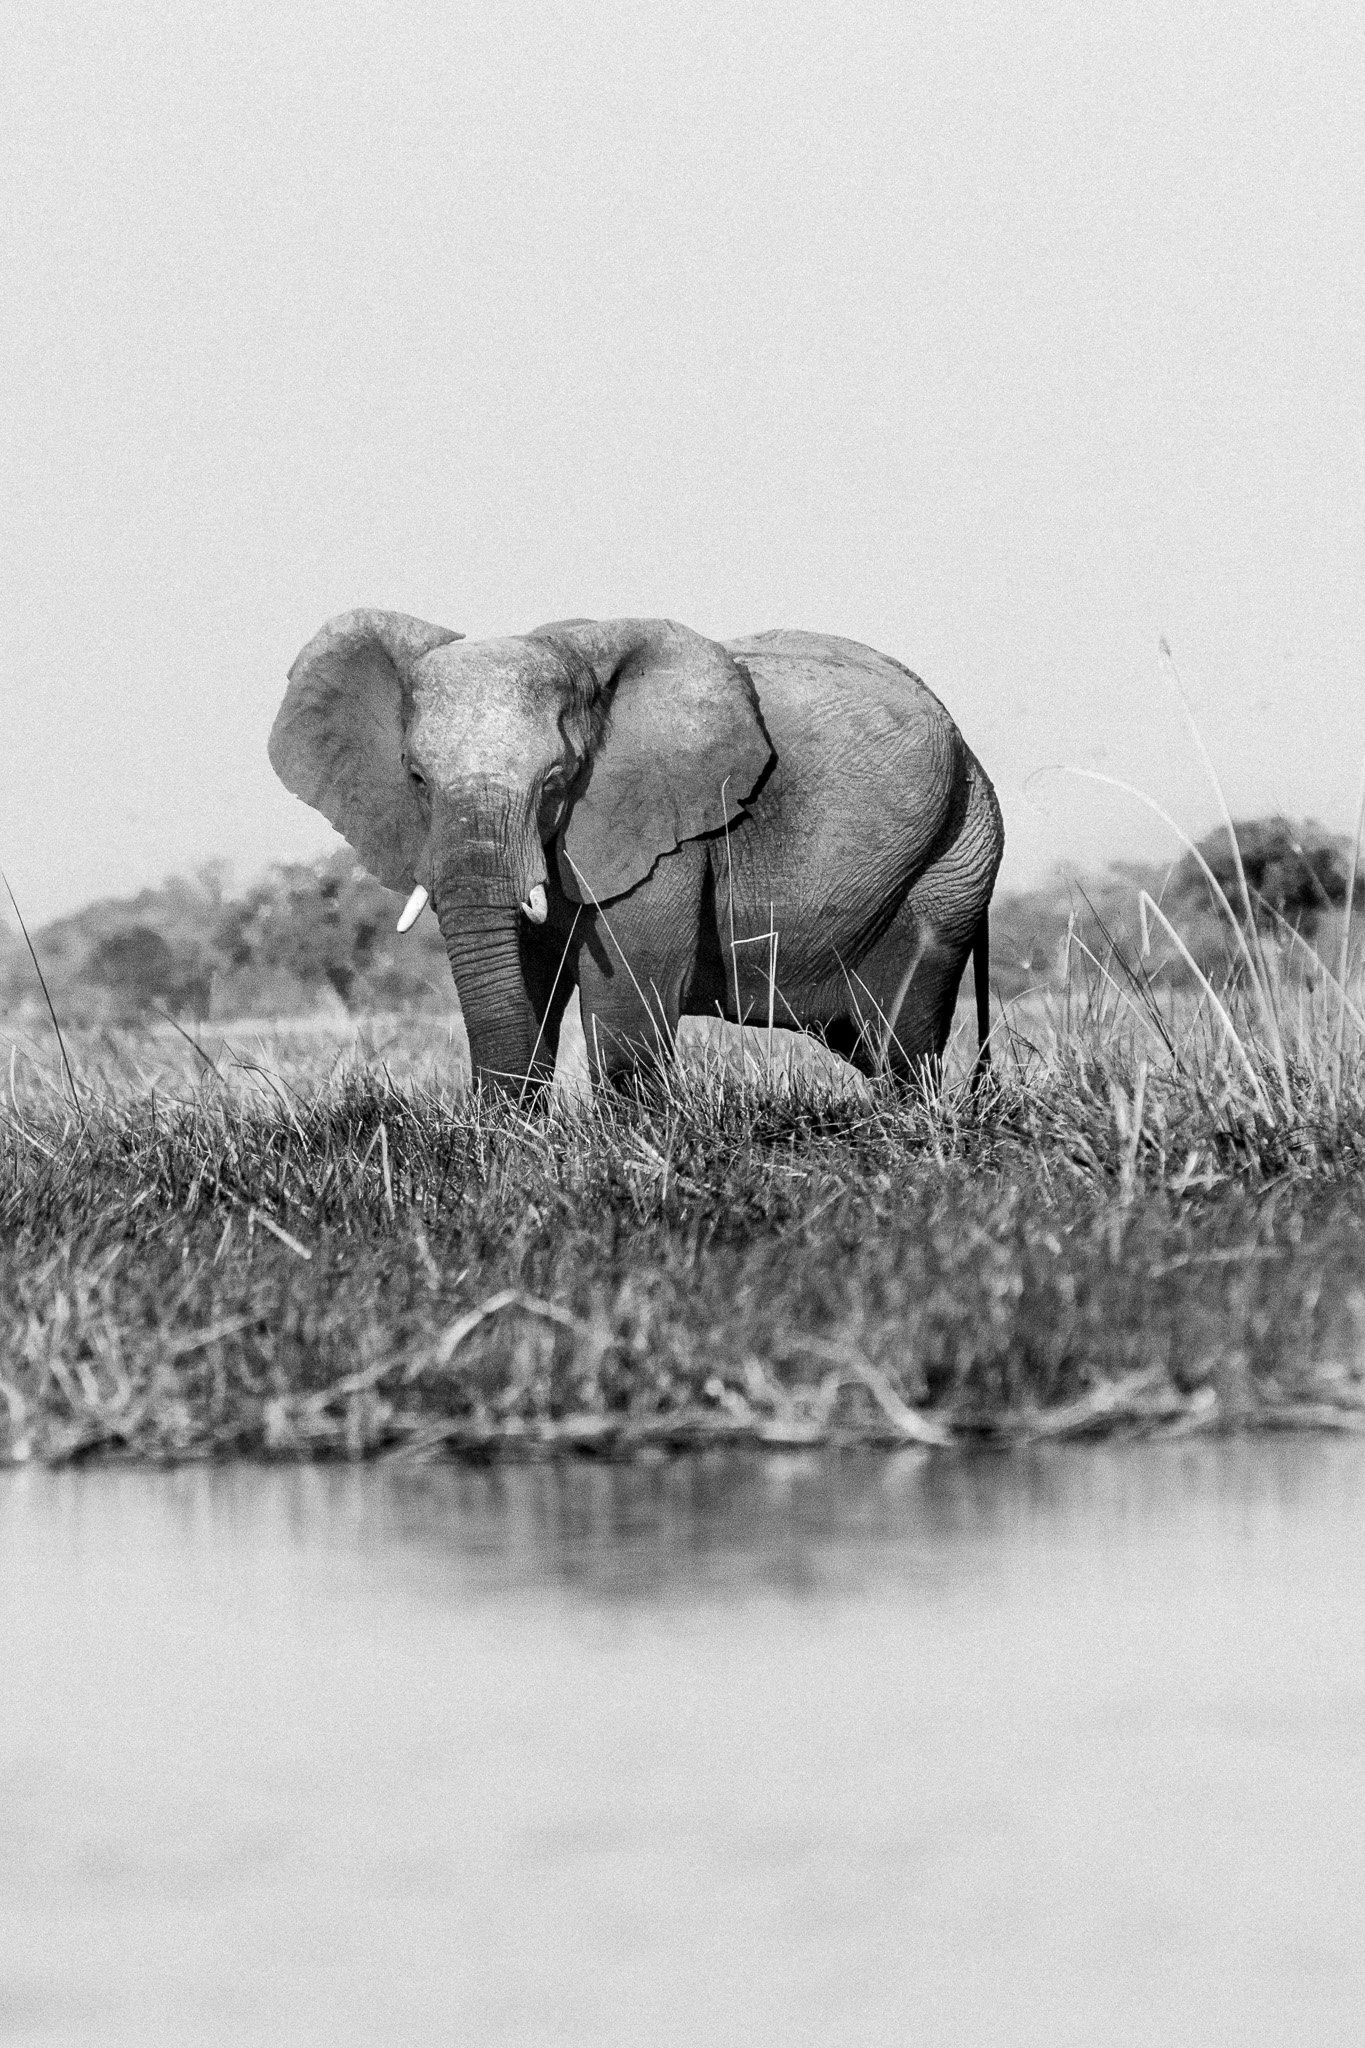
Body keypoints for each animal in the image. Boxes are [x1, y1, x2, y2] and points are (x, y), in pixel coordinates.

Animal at [268, 611, 1004, 1097]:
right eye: (416, 778)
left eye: (555, 779)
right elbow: (523, 980)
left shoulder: (668, 829)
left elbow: (626, 998)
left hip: (953, 862)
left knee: (902, 1042)